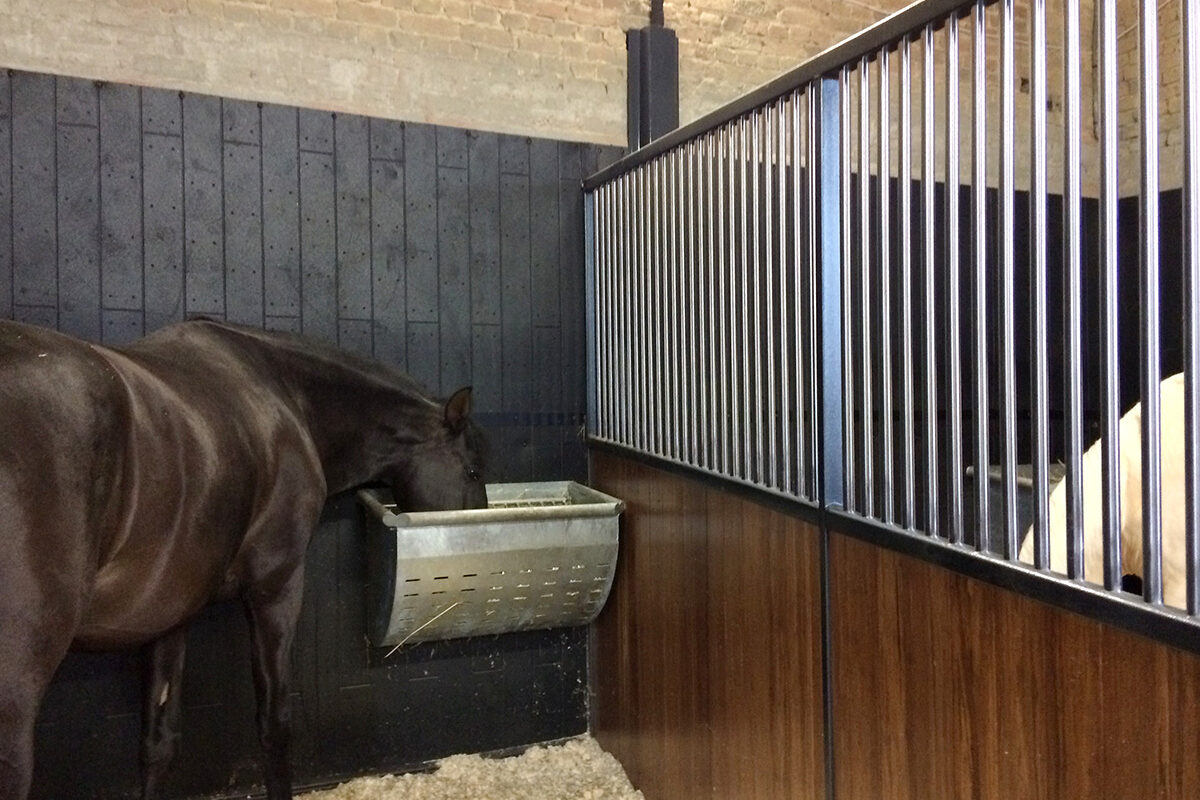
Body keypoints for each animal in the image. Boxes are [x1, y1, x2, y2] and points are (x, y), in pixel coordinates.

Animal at [0, 317, 489, 800]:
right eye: (471, 470)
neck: (287, 398)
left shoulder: (171, 614)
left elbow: (159, 742)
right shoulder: (277, 586)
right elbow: (275, 725)